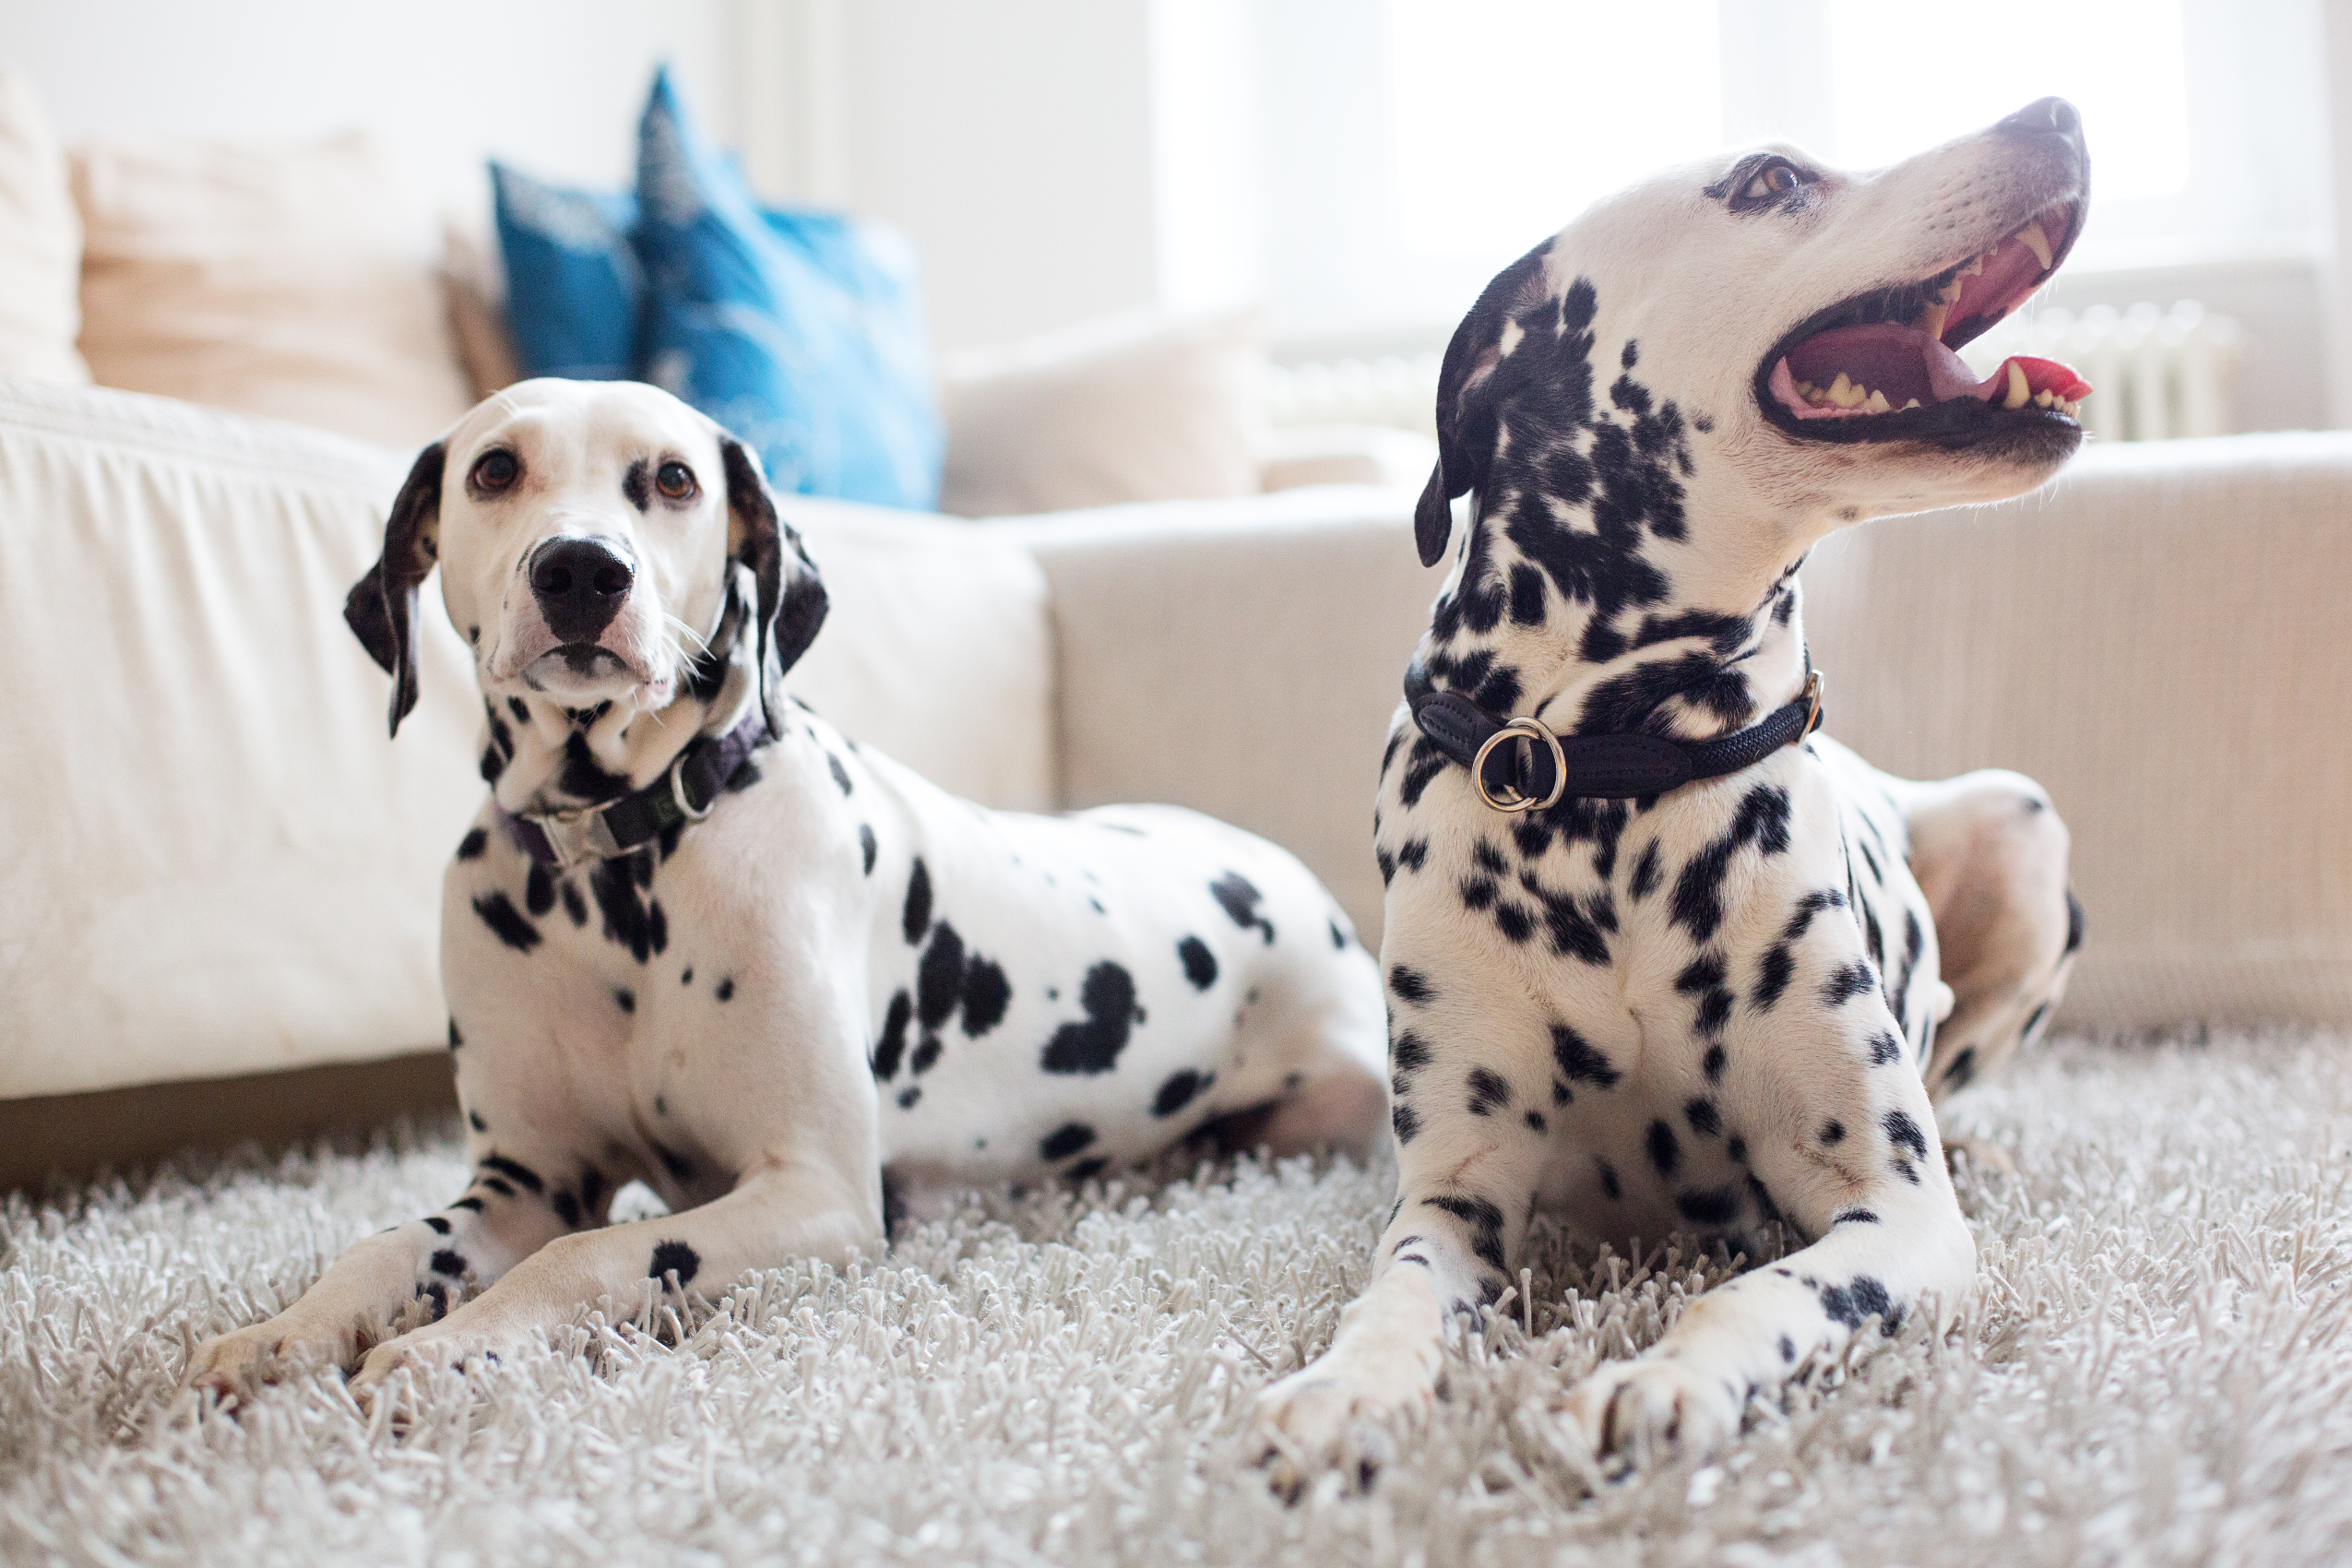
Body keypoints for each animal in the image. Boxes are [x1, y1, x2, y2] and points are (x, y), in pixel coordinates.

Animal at [193, 375, 1392, 1401]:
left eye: (674, 479)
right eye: (494, 468)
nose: (582, 570)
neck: (619, 869)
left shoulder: (813, 1193)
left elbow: (594, 1254)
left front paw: (452, 1347)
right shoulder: (526, 1176)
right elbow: (386, 1242)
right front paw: (285, 1330)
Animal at [1260, 101, 2088, 1485]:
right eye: (1769, 182)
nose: (2058, 114)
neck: (1612, 773)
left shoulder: (1896, 1213)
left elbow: (1770, 1289)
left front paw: (1667, 1377)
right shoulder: (1457, 1190)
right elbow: (1395, 1289)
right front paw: (1345, 1384)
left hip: (2022, 821)